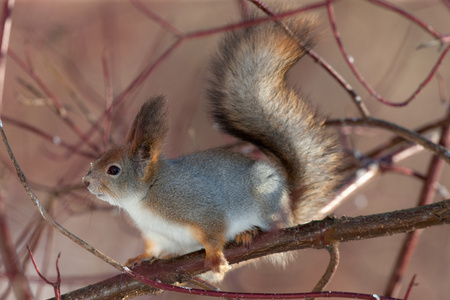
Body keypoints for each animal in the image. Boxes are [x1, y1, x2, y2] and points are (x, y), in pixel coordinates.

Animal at [81, 7, 342, 276]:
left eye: (114, 170)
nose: (86, 182)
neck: (145, 196)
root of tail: (290, 211)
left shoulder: (201, 208)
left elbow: (214, 234)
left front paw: (216, 257)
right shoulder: (156, 234)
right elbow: (153, 247)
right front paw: (140, 258)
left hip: (266, 202)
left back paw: (249, 232)